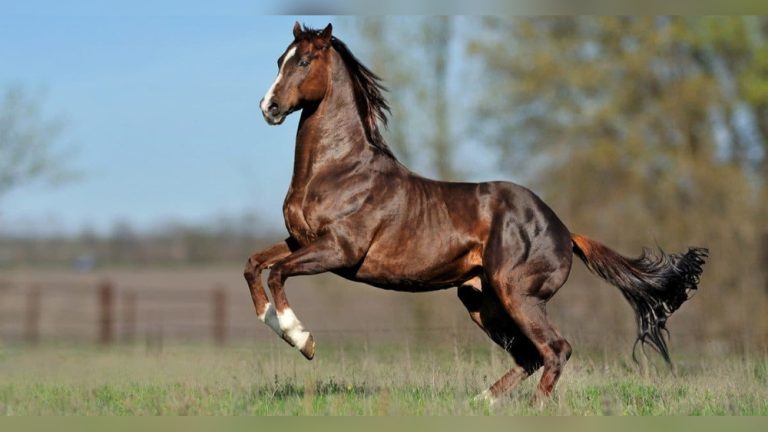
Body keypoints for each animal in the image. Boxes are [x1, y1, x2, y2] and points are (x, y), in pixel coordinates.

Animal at [243, 22, 708, 406]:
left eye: (304, 61)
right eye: (280, 60)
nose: (268, 107)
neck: (340, 170)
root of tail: (564, 231)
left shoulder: (339, 251)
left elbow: (278, 273)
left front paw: (302, 340)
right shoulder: (300, 241)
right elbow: (254, 264)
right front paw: (271, 320)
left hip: (517, 295)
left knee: (555, 350)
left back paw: (531, 409)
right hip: (481, 300)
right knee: (529, 357)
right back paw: (479, 402)